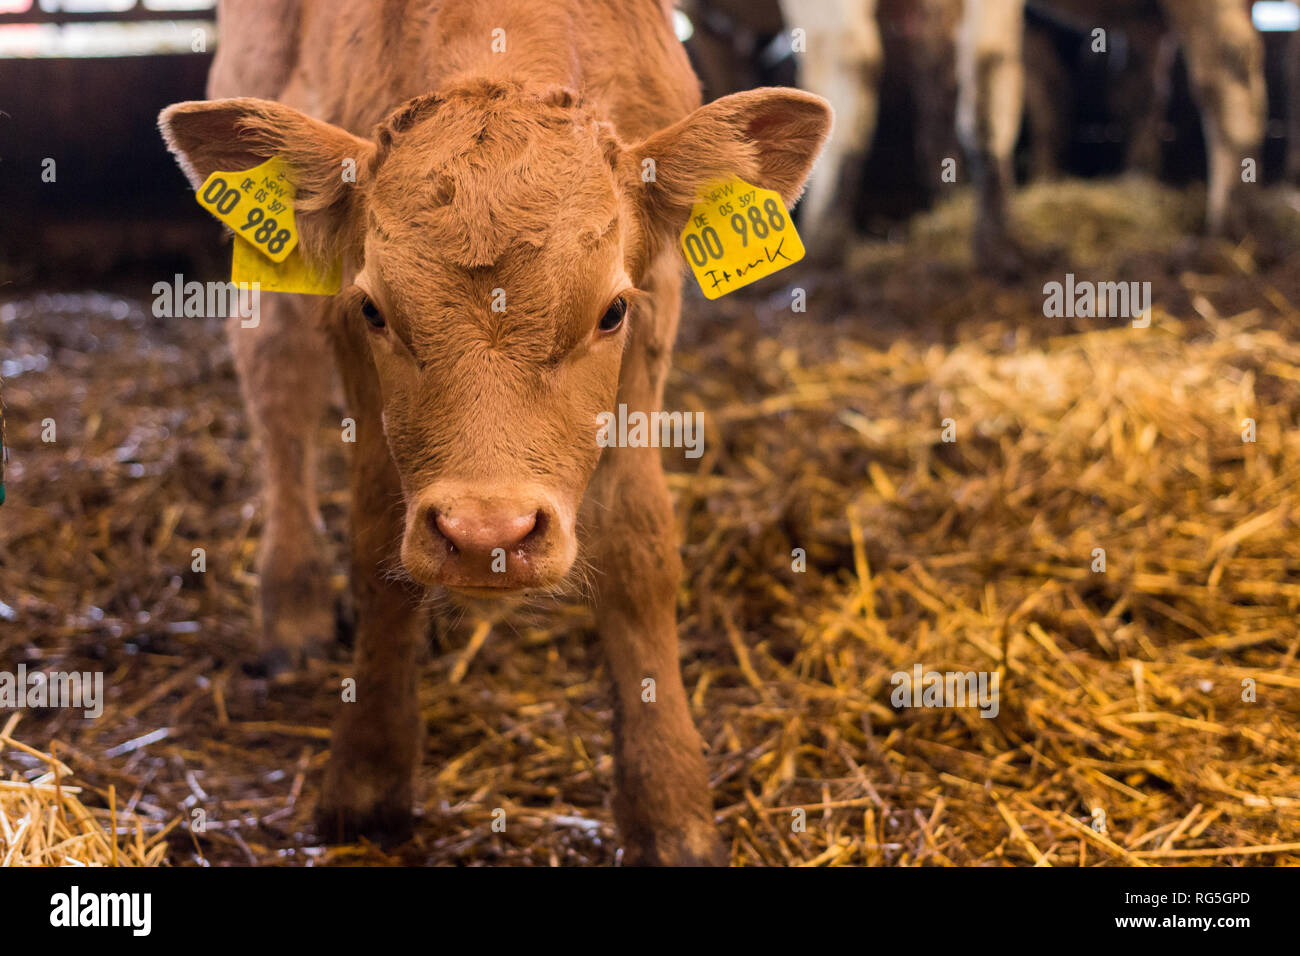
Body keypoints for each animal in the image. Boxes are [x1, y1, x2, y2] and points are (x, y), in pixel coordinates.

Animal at [159, 0, 832, 868]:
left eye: (611, 310)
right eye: (376, 309)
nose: (488, 536)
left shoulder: (657, 308)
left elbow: (640, 547)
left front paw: (670, 805)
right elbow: (375, 544)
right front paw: (368, 775)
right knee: (276, 386)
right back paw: (293, 603)